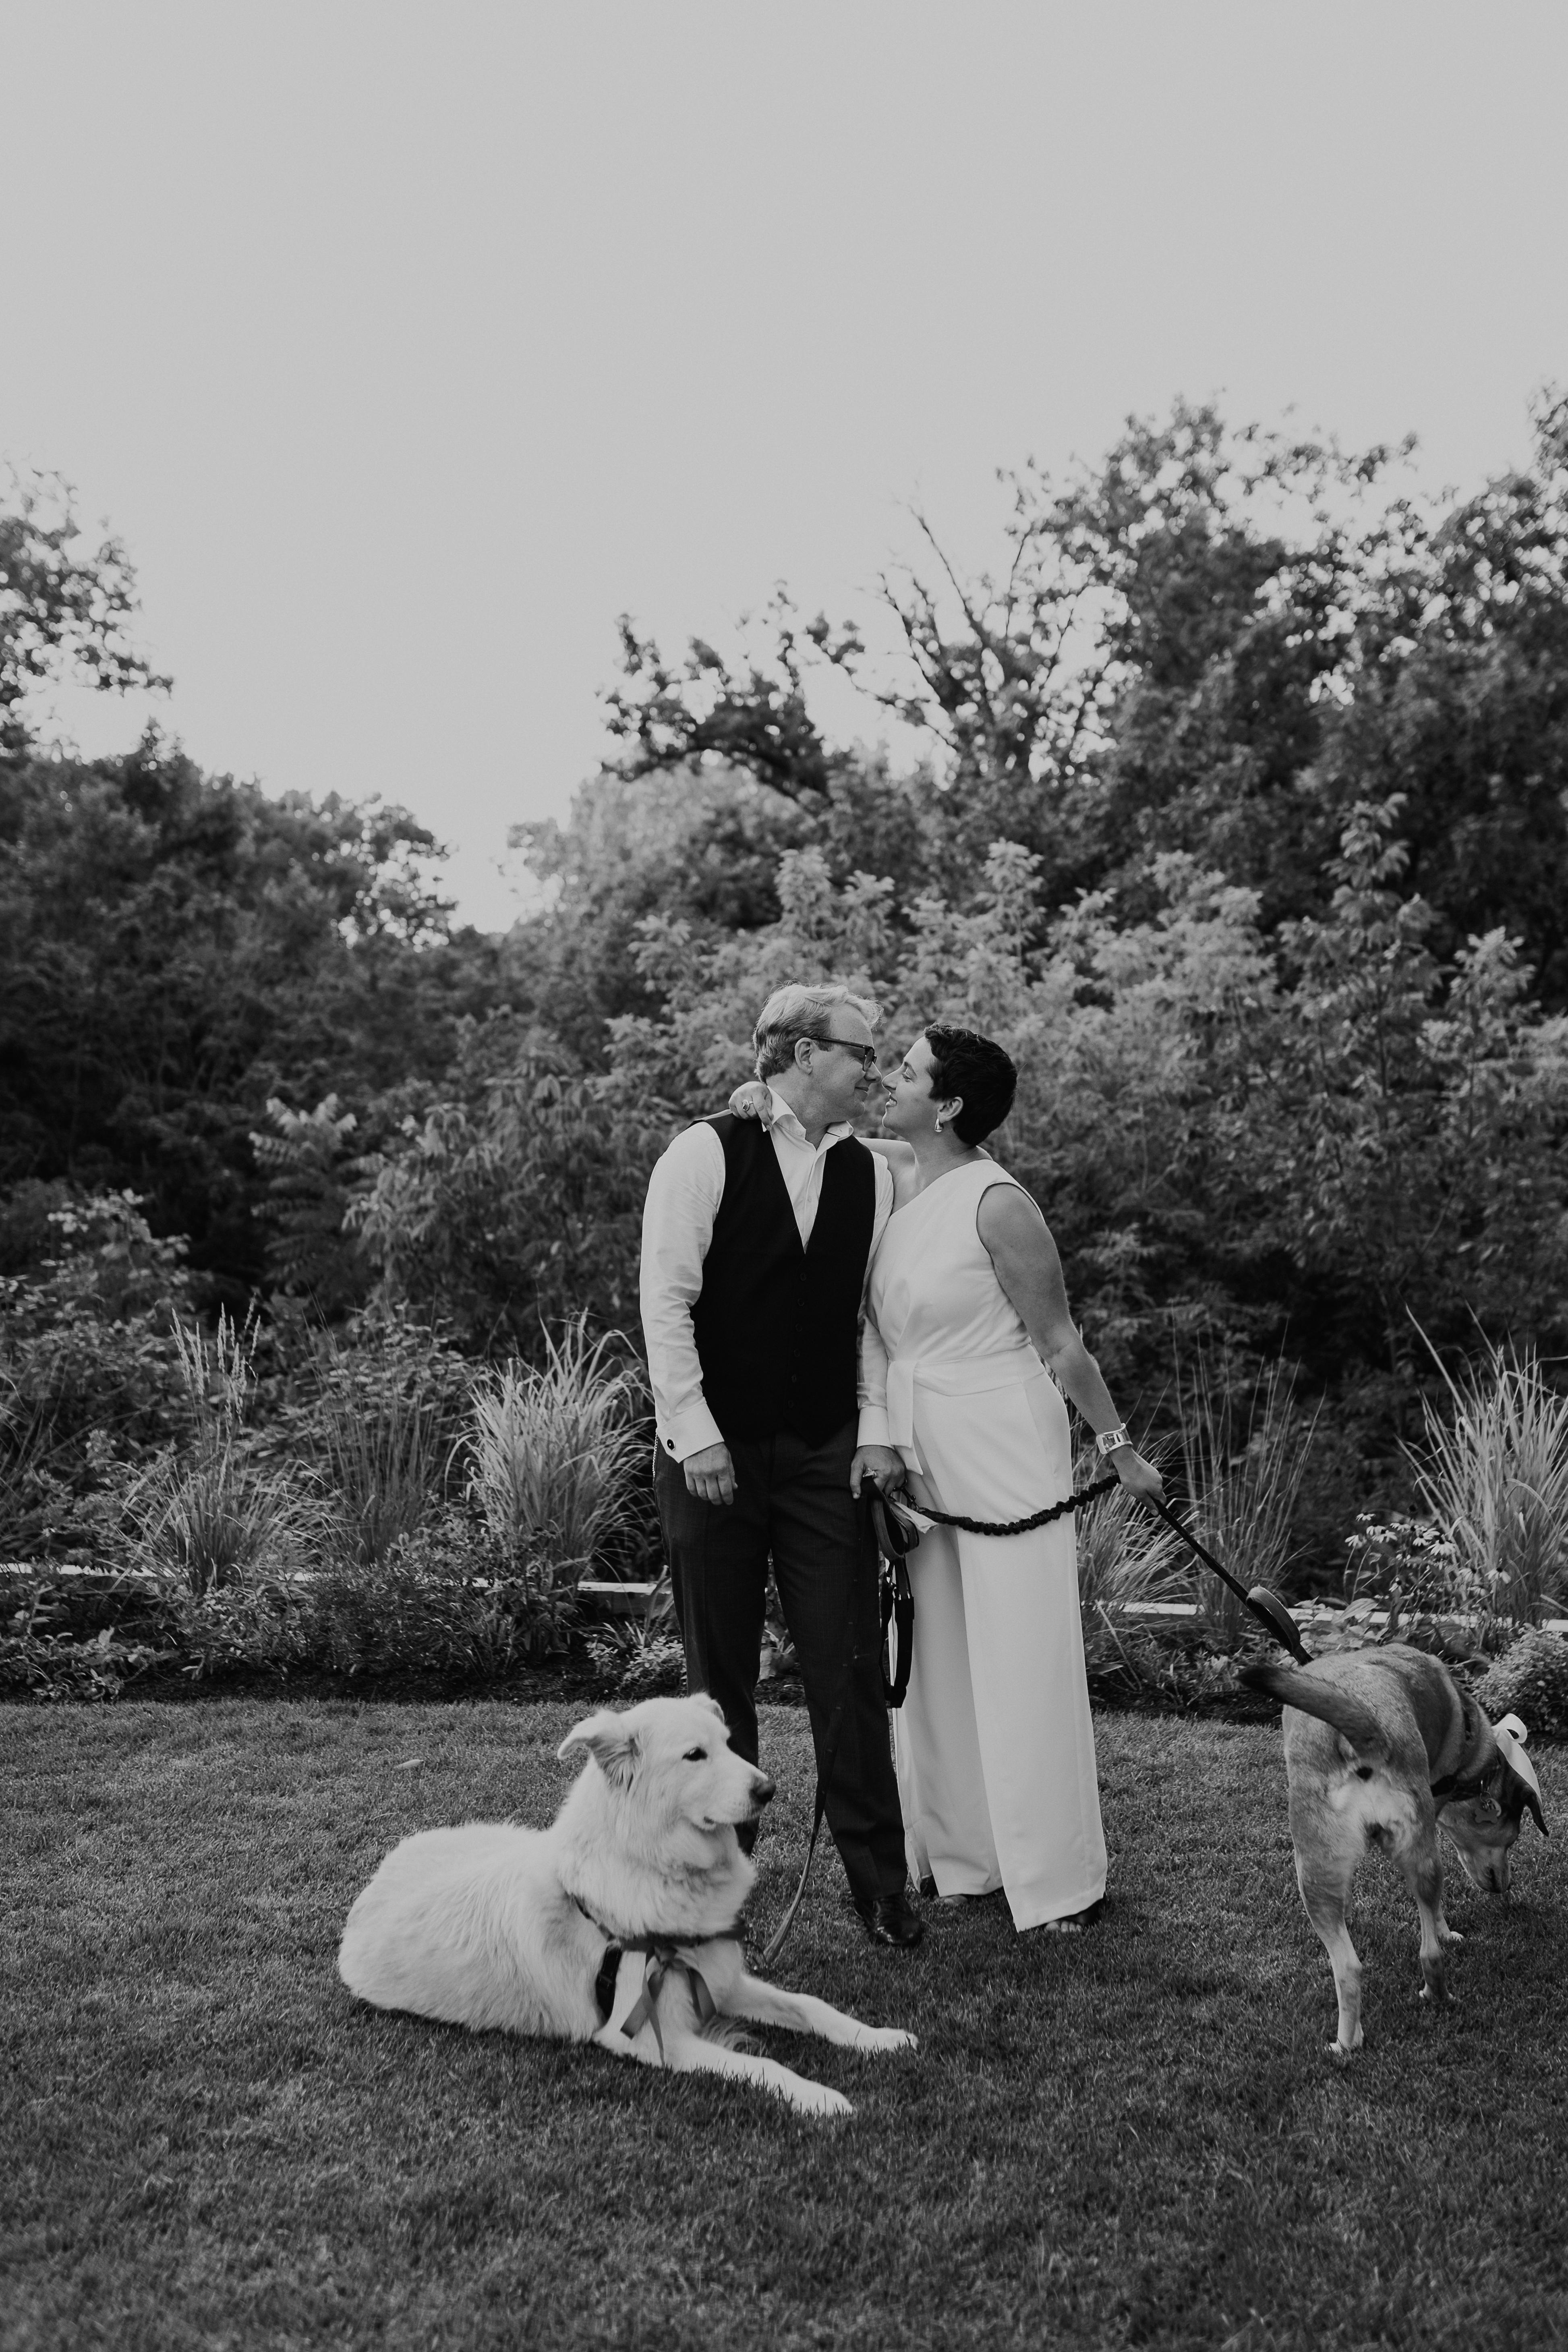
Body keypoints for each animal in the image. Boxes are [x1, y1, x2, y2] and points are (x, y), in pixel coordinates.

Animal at [337, 1691, 916, 2118]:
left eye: (729, 1745)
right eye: (694, 1755)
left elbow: (809, 2004)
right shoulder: (650, 2037)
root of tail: (377, 1878)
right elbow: (764, 2065)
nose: (769, 1788)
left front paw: (879, 2038)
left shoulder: (720, 1980)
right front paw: (820, 2097)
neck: (656, 1866)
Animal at [1240, 1646, 1548, 2058]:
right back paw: (1433, 1995)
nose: (1505, 1885)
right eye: (1510, 1840)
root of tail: (1369, 1735)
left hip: (1311, 1867)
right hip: (1403, 1861)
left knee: (1354, 1964)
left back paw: (1344, 2044)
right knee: (1420, 1953)